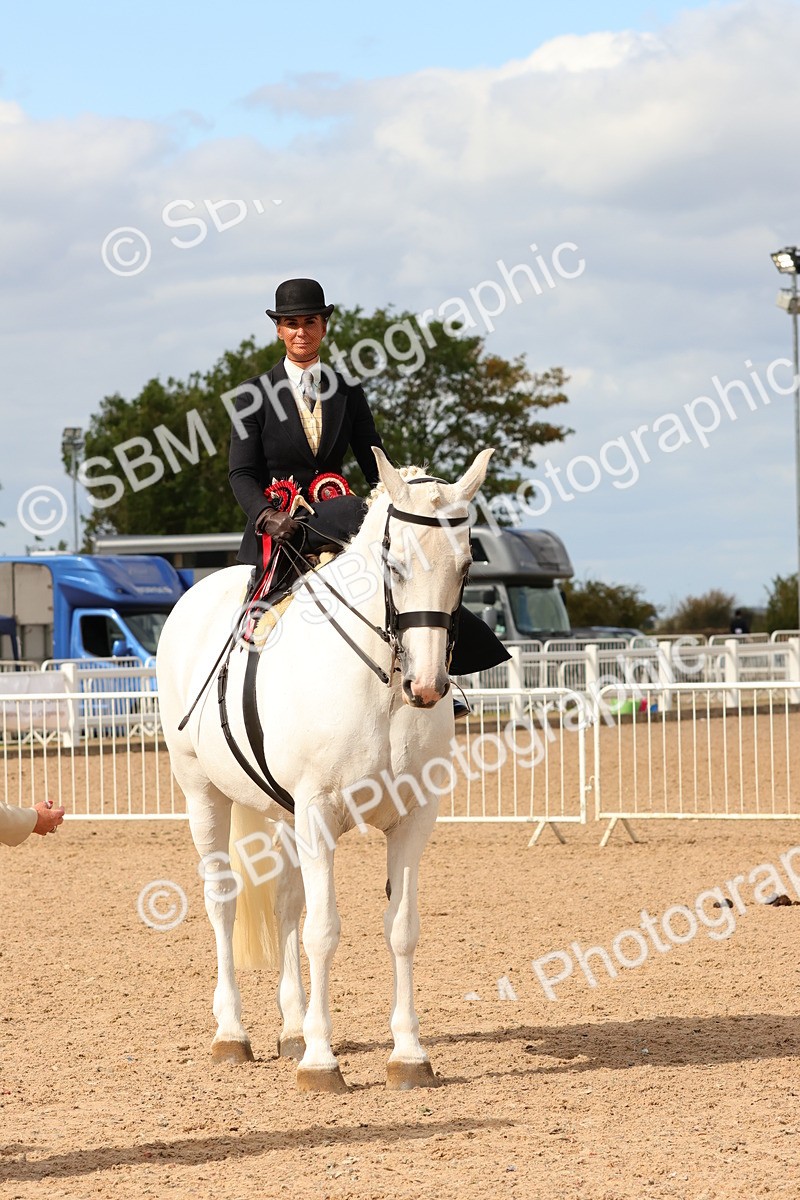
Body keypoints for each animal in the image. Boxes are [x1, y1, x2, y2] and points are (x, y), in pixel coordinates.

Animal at [156, 447, 492, 1092]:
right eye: (394, 564)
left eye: (464, 565)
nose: (427, 686)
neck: (380, 687)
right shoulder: (316, 815)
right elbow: (324, 930)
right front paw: (320, 1059)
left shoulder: (413, 820)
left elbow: (400, 928)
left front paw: (408, 1054)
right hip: (201, 794)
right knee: (223, 901)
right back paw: (232, 1033)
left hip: (280, 814)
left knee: (286, 901)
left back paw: (289, 1028)